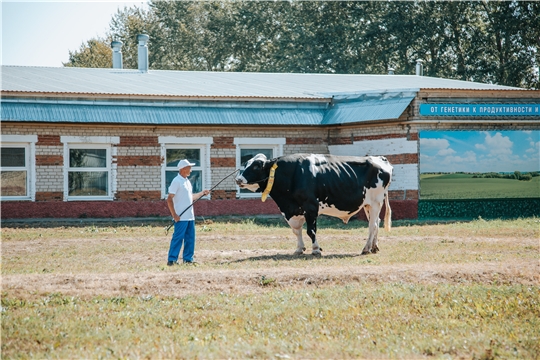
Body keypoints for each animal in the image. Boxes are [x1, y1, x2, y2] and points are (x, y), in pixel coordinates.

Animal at [236, 153, 392, 255]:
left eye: (256, 166)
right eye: (245, 163)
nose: (238, 179)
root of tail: (380, 158)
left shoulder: (310, 207)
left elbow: (311, 230)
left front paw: (316, 249)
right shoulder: (293, 210)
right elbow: (297, 231)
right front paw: (299, 249)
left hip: (376, 202)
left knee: (372, 226)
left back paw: (366, 249)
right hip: (367, 204)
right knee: (376, 223)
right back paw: (374, 247)